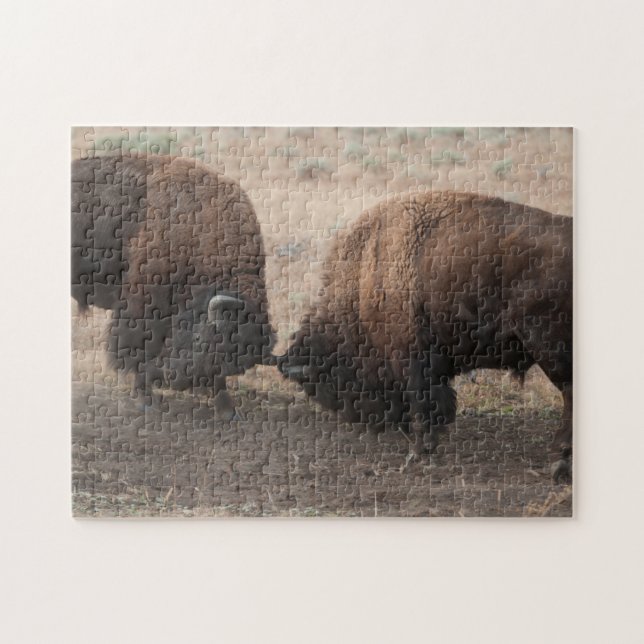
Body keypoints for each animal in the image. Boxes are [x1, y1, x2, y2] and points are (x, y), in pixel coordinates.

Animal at [71, 154, 274, 418]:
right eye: (200, 339)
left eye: (236, 363)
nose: (177, 379)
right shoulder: (140, 308)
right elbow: (137, 349)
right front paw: (147, 399)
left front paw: (226, 409)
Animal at [277, 191, 572, 479]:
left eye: (328, 381)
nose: (364, 422)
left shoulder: (410, 358)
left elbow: (422, 402)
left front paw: (419, 451)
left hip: (548, 347)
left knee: (568, 395)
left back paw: (559, 463)